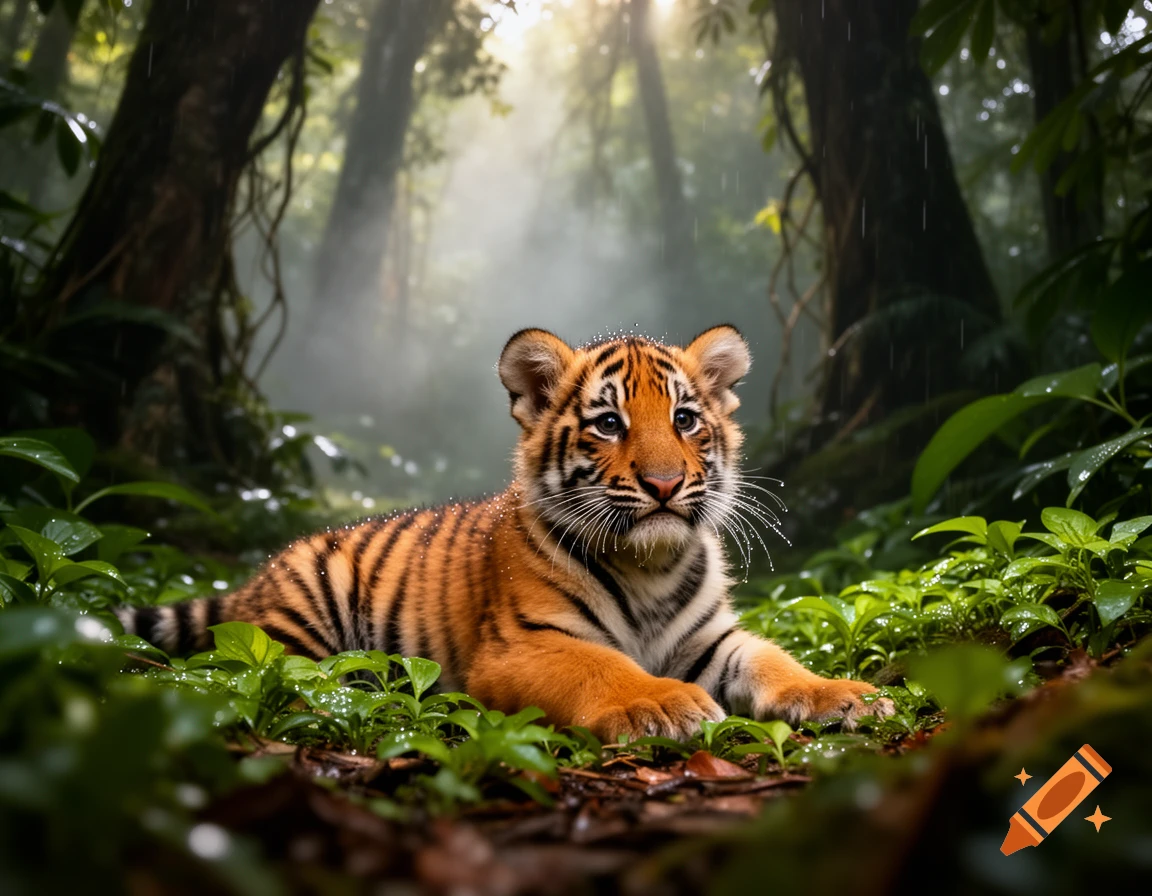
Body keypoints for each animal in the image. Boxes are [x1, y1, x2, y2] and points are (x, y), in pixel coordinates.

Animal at [118, 325, 892, 740]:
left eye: (685, 419)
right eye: (608, 423)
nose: (666, 484)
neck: (650, 566)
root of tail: (256, 578)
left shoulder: (712, 639)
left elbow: (775, 661)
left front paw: (844, 694)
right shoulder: (525, 645)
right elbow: (603, 665)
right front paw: (662, 703)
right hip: (300, 615)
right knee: (278, 677)